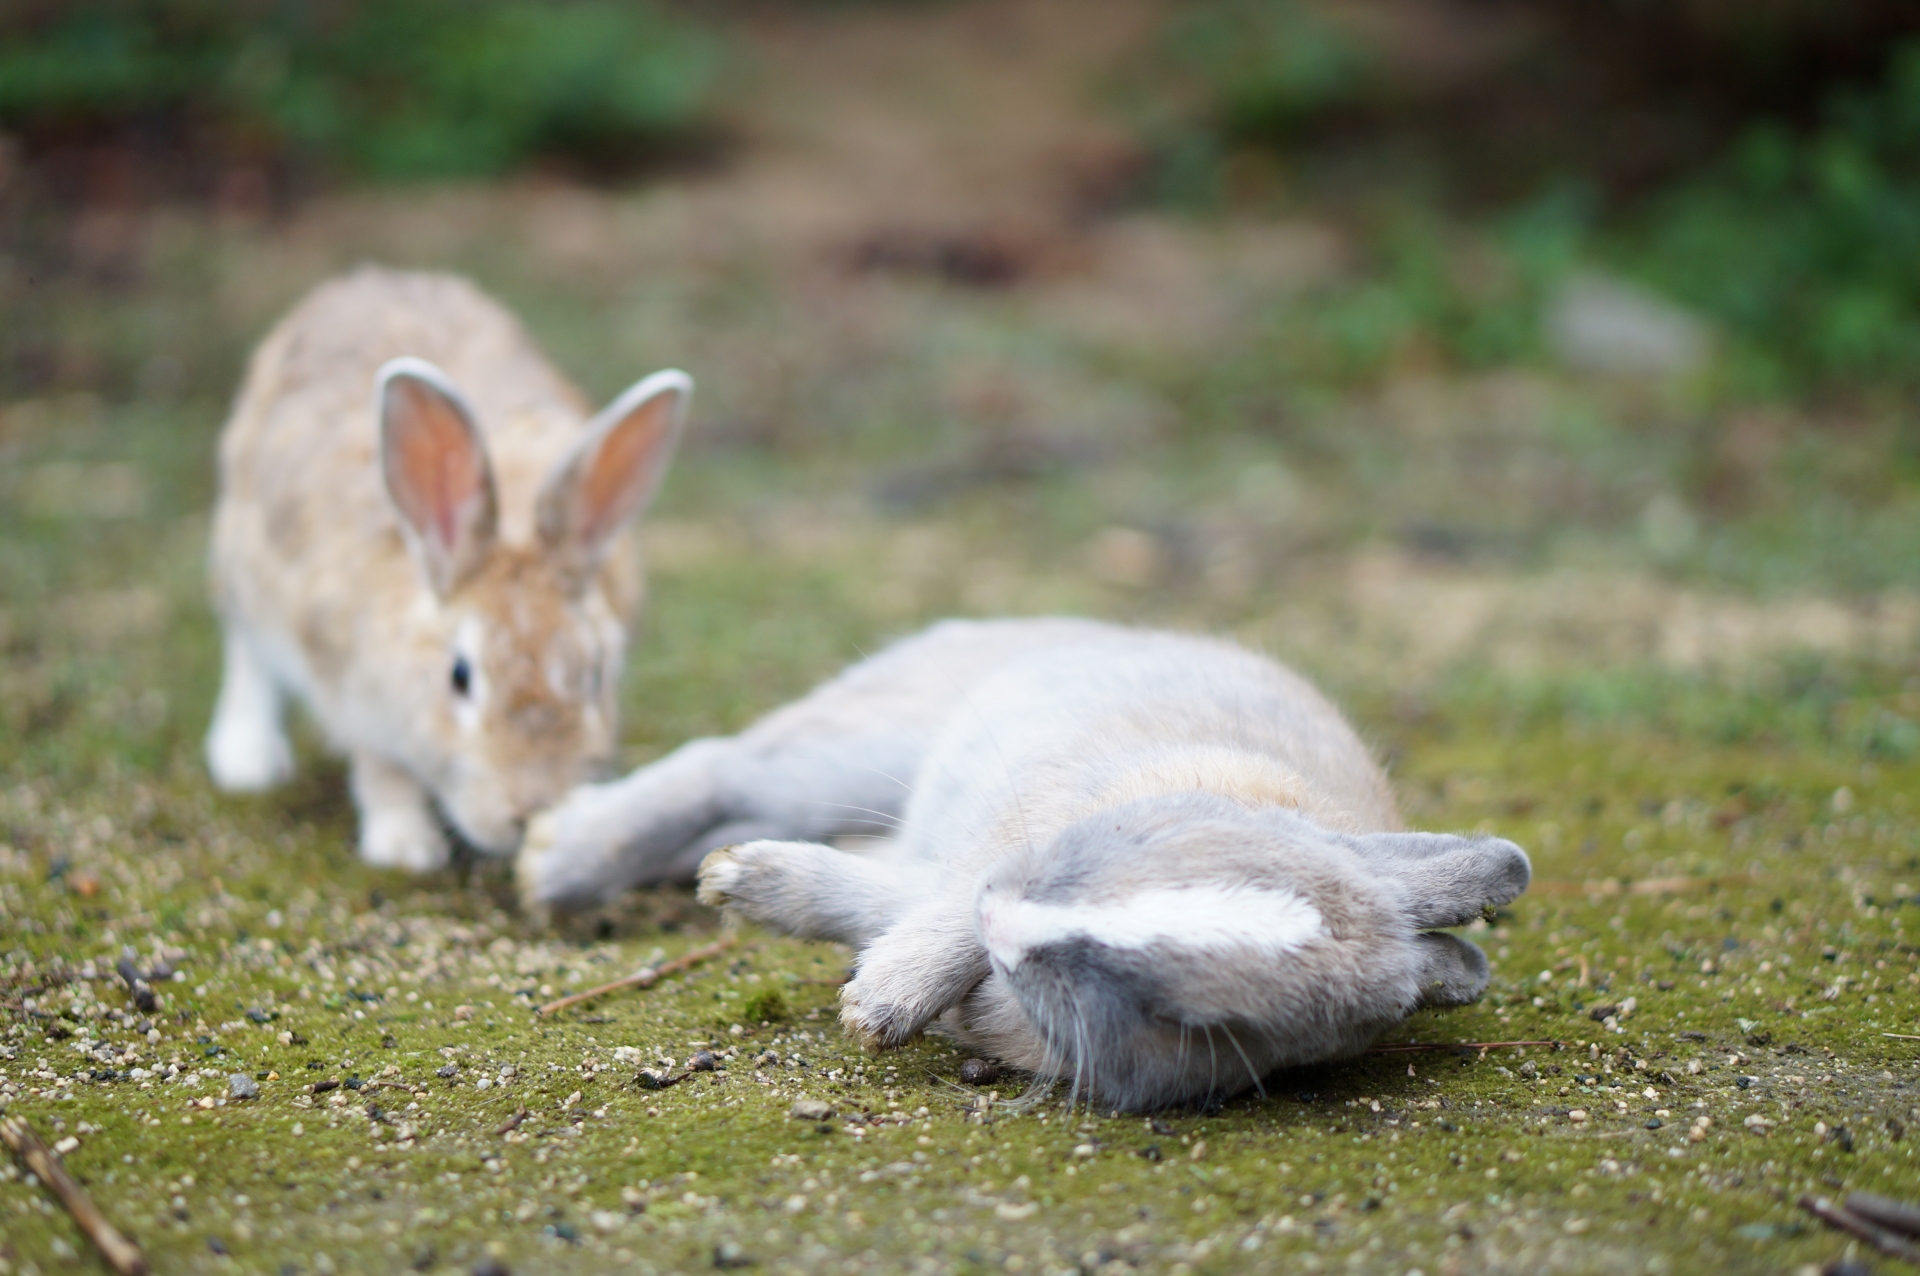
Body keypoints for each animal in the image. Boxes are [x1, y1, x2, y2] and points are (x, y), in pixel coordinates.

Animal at [208, 262, 691, 871]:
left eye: (596, 674)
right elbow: (383, 774)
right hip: (244, 571)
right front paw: (406, 848)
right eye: (459, 677)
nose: (530, 806)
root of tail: (369, 281)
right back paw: (247, 760)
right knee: (247, 653)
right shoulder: (355, 698)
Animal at [514, 617, 1528, 1105]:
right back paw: (559, 861)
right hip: (856, 750)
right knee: (720, 763)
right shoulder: (996, 849)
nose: (1014, 920)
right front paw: (877, 1006)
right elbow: (932, 912)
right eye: (1149, 842)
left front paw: (868, 995)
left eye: (1190, 1018)